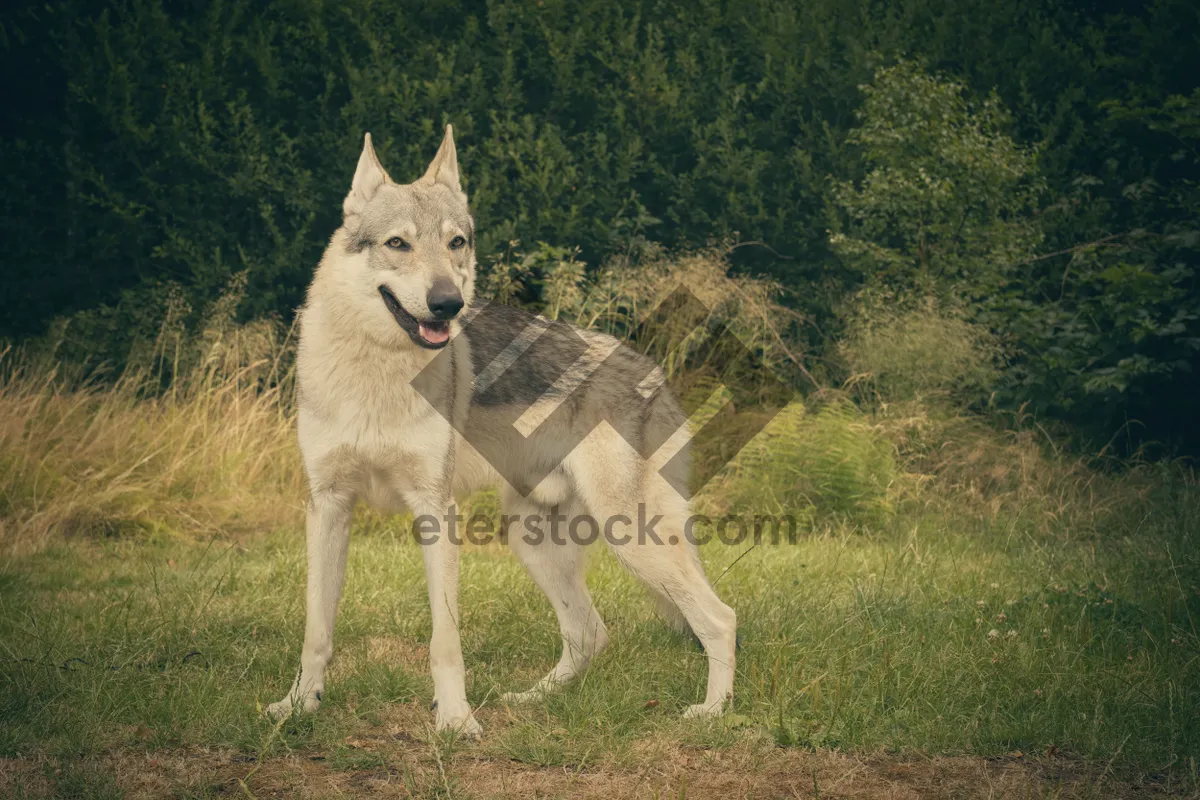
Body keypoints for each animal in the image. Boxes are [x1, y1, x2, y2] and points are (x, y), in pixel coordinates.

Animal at [270, 126, 739, 738]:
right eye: (398, 244)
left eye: (456, 243)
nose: (449, 303)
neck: (376, 371)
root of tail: (655, 372)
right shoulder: (327, 506)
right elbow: (316, 630)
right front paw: (299, 704)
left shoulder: (435, 511)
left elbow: (444, 641)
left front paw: (455, 722)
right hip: (531, 536)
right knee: (591, 632)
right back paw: (534, 700)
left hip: (630, 536)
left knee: (719, 618)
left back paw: (712, 713)